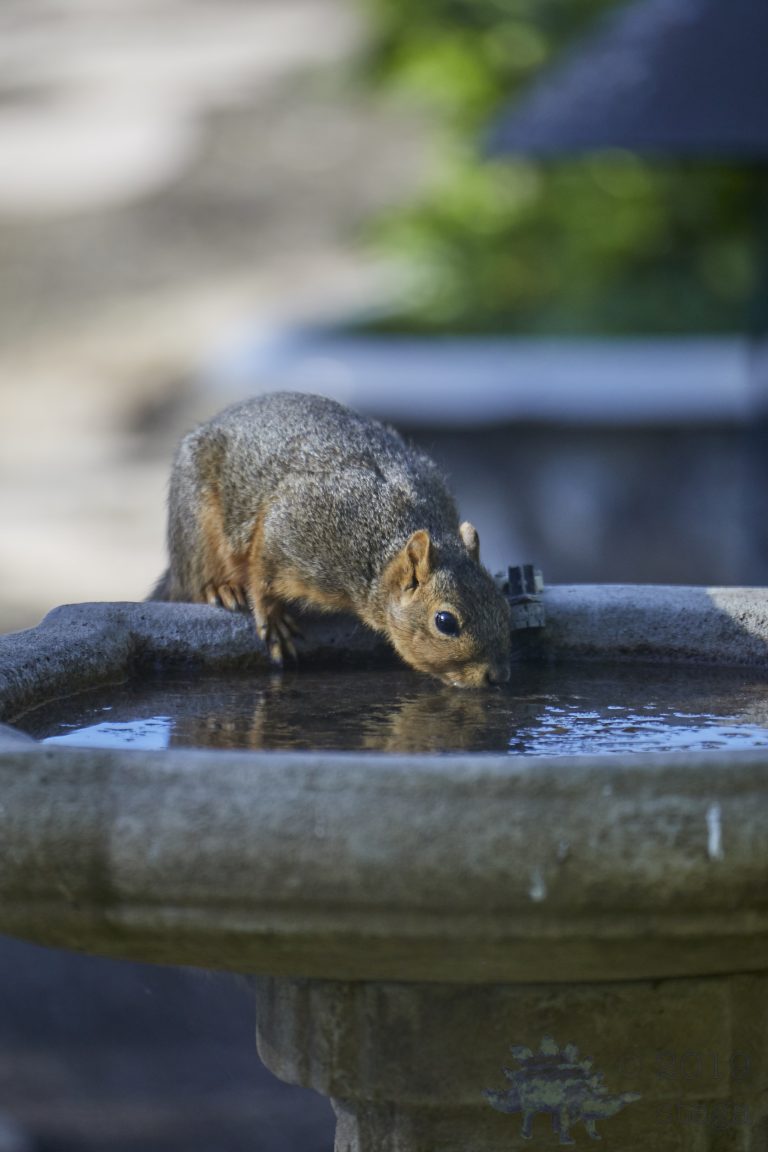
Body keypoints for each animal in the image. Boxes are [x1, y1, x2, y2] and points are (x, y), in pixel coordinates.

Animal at [151, 392, 511, 688]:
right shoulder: (292, 530)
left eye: (503, 603)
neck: (377, 548)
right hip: (196, 526)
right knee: (195, 578)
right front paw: (272, 618)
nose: (496, 676)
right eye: (445, 622)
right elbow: (262, 576)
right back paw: (220, 588)